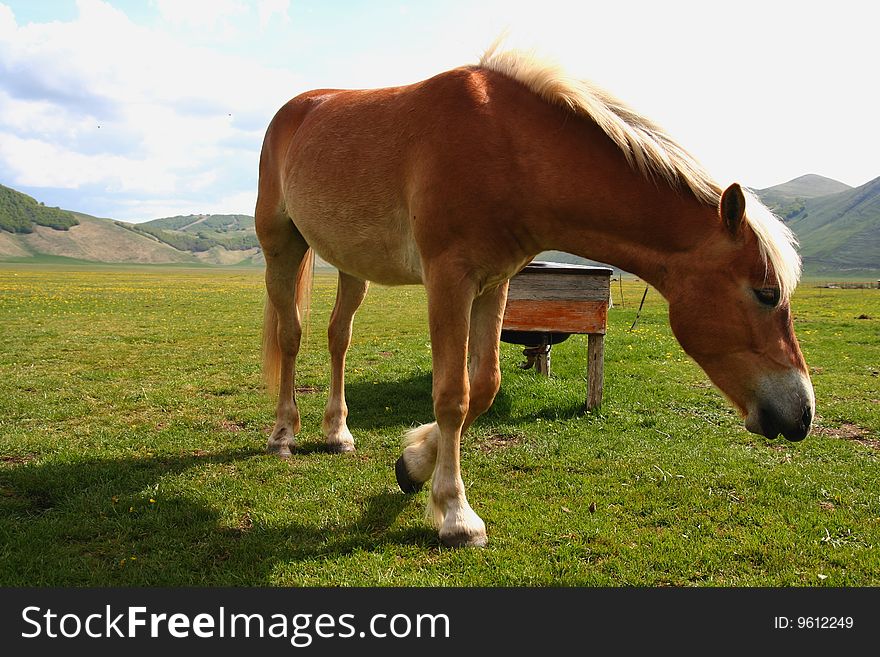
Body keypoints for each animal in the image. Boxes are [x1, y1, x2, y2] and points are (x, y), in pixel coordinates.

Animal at [253, 46, 812, 544]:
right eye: (766, 293)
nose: (802, 414)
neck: (508, 147)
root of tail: (297, 108)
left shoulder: (492, 282)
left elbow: (484, 385)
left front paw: (413, 464)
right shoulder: (448, 280)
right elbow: (452, 394)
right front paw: (456, 514)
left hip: (353, 267)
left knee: (338, 338)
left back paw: (336, 433)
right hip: (282, 247)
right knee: (291, 336)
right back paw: (283, 435)